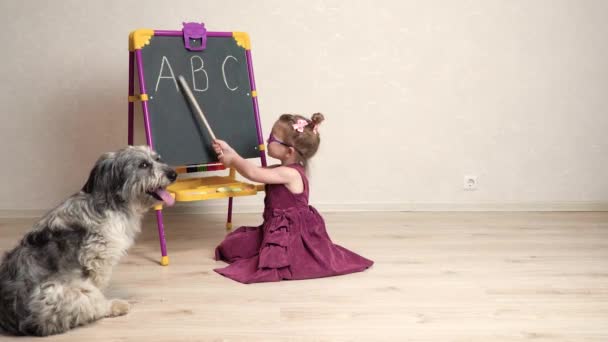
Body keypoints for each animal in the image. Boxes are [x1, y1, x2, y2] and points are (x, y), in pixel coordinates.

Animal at [0, 146, 176, 336]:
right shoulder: (98, 258)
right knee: (95, 304)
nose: (173, 174)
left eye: (158, 159)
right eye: (143, 165)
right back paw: (115, 306)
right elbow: (98, 287)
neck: (111, 201)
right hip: (75, 293)